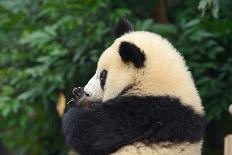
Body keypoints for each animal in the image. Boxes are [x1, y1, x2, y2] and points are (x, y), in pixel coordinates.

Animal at [62, 17, 205, 155]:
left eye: (103, 76)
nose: (87, 92)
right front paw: (79, 96)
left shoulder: (144, 111)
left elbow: (90, 130)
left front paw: (79, 105)